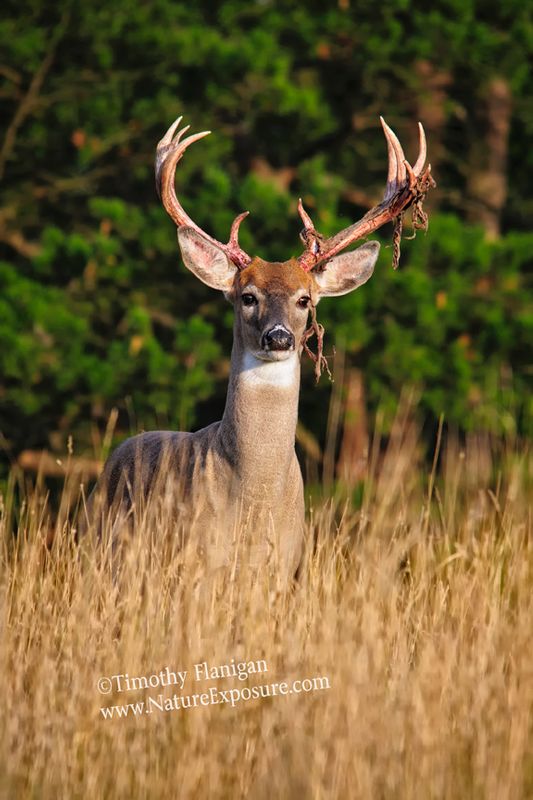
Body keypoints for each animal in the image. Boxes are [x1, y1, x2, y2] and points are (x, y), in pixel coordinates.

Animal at [81, 114, 433, 581]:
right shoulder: (196, 560)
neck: (254, 502)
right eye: (247, 296)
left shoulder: (283, 563)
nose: (279, 337)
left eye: (305, 300)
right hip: (103, 547)